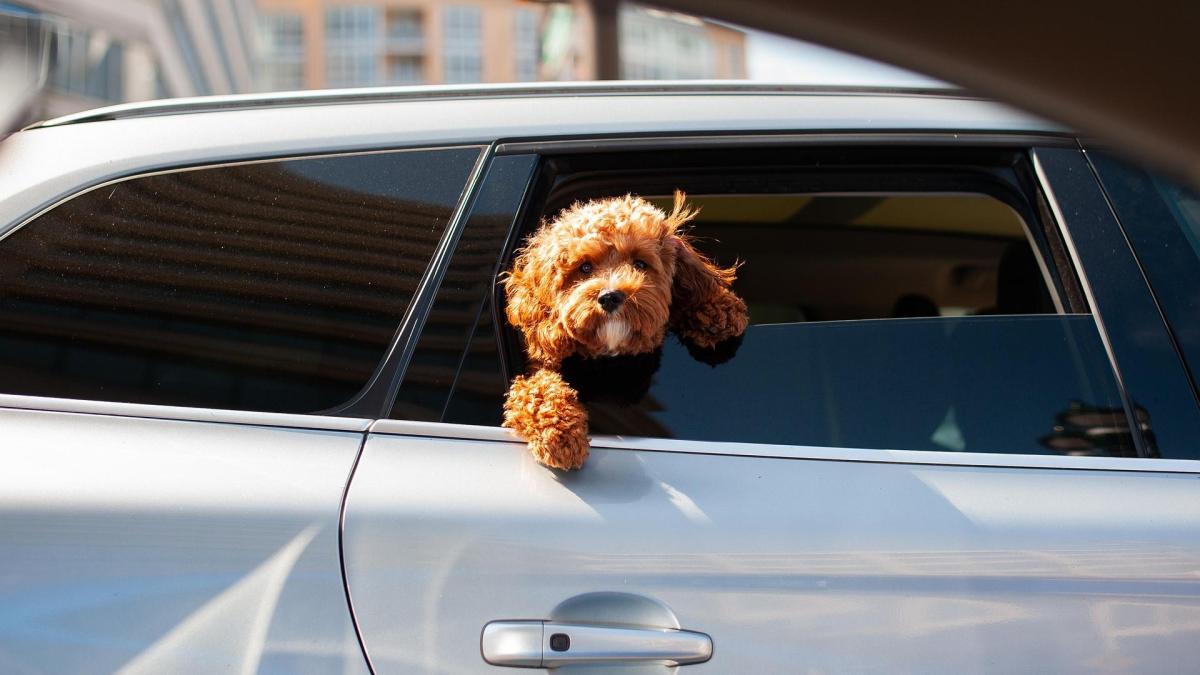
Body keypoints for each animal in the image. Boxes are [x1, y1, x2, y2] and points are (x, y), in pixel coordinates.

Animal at [499, 189, 744, 468]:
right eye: (584, 267)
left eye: (640, 264)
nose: (609, 297)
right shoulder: (535, 371)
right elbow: (535, 390)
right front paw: (560, 435)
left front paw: (720, 309)